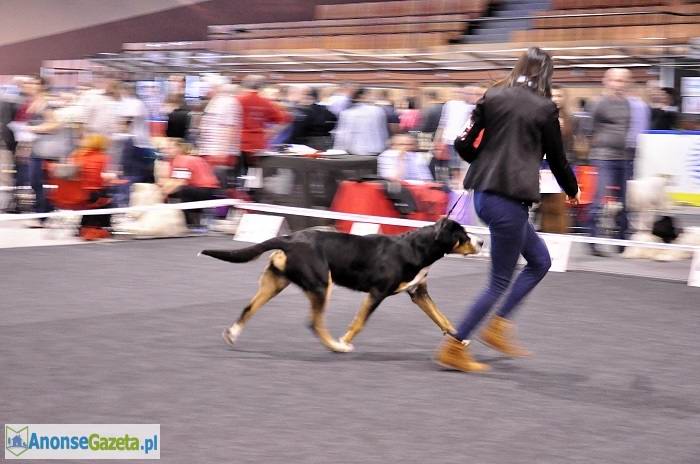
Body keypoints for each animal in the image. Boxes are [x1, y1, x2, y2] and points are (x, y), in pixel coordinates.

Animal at [197, 218, 482, 352]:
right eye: (463, 235)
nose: (481, 242)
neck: (415, 248)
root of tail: (289, 239)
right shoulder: (377, 293)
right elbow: (359, 322)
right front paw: (345, 340)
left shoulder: (418, 292)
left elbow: (442, 318)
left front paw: (460, 338)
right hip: (322, 284)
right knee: (314, 323)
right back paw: (336, 346)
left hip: (275, 283)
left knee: (248, 308)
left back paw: (232, 334)